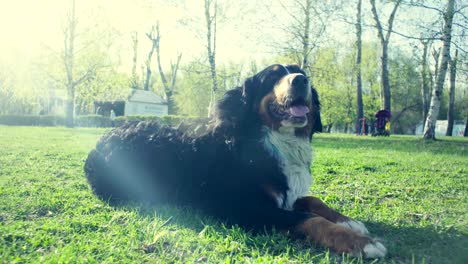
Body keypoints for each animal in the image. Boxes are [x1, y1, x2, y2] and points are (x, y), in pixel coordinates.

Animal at [84, 63, 388, 258]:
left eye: (302, 71)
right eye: (272, 77)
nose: (301, 79)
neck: (269, 140)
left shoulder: (285, 195)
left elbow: (313, 202)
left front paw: (348, 221)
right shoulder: (247, 207)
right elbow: (310, 219)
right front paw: (362, 243)